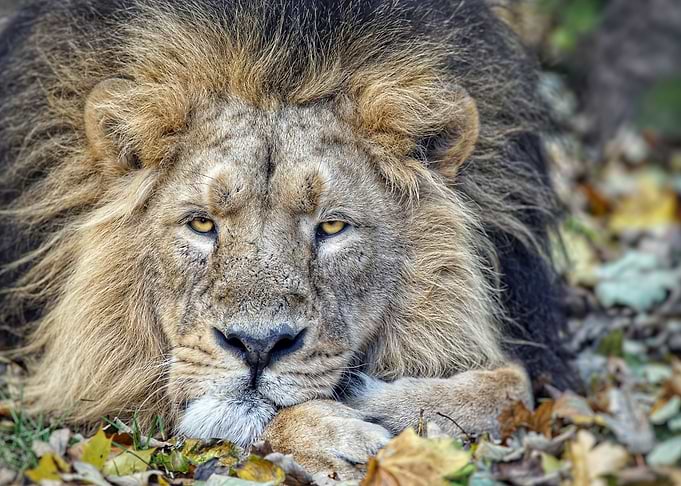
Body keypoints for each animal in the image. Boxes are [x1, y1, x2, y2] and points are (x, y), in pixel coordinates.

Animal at [0, 0, 575, 477]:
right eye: (202, 224)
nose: (257, 347)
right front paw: (340, 433)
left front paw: (382, 406)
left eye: (332, 227)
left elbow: (515, 383)